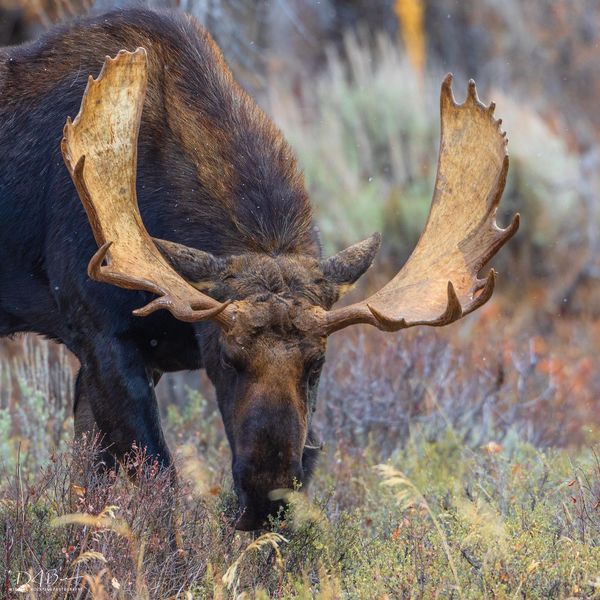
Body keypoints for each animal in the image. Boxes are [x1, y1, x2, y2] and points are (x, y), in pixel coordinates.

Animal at [0, 7, 516, 528]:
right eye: (227, 358)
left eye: (317, 364)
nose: (266, 497)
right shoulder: (101, 338)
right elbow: (156, 481)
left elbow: (89, 480)